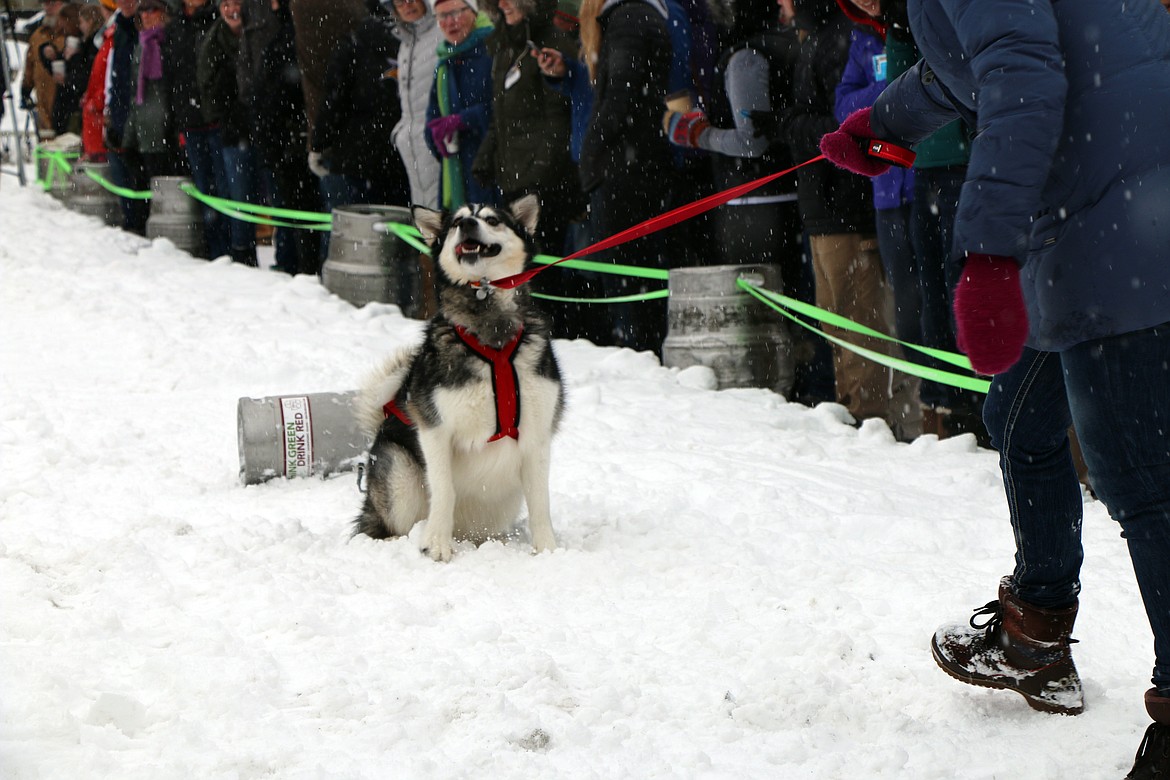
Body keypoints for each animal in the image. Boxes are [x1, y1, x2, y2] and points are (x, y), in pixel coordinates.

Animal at [348, 195, 563, 561]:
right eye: (456, 222)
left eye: (492, 220)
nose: (467, 224)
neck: (491, 330)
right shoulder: (435, 426)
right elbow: (444, 489)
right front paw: (436, 544)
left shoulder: (537, 434)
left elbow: (540, 500)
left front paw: (547, 549)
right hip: (398, 473)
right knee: (383, 526)